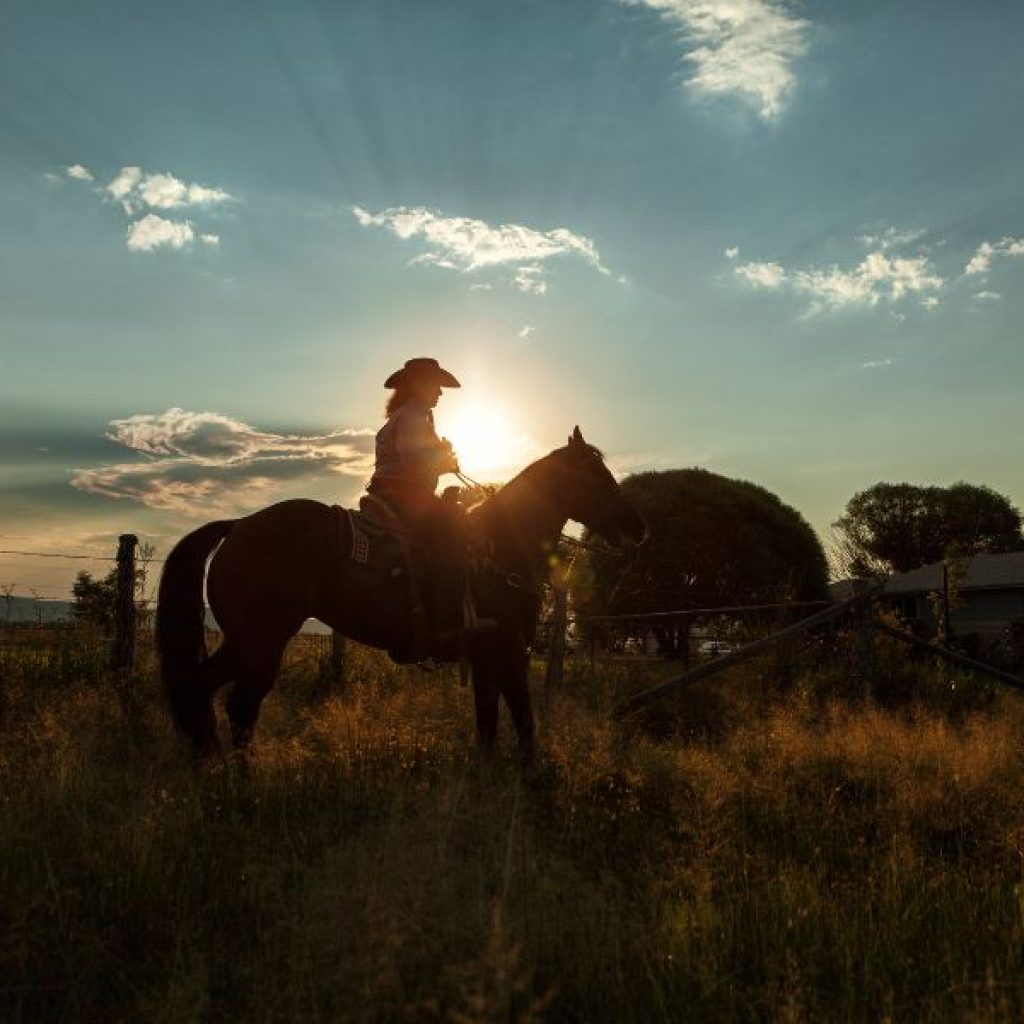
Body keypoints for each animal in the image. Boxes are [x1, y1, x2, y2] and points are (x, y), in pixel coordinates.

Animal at [155, 421, 643, 753]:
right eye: (597, 476)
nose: (638, 528)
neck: (500, 545)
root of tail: (238, 526)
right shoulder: (507, 650)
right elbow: (523, 720)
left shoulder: (485, 658)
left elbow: (488, 724)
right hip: (262, 642)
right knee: (238, 705)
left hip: (245, 642)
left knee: (204, 692)